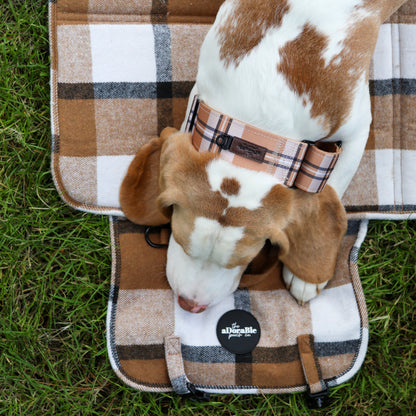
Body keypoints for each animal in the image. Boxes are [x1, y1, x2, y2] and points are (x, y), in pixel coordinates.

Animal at [120, 0, 406, 312]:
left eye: (245, 261)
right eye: (182, 242)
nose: (190, 305)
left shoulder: (358, 127)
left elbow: (334, 184)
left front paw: (304, 277)